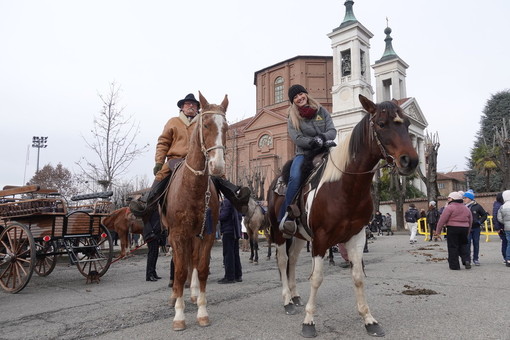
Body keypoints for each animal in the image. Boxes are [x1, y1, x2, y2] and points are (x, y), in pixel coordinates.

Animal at [162, 91, 228, 330]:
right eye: (206, 125)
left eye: (226, 127)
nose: (218, 166)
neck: (192, 189)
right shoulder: (178, 235)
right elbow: (180, 271)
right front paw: (179, 316)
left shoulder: (206, 234)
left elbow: (201, 269)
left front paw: (202, 311)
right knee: (179, 264)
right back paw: (175, 296)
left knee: (192, 263)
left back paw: (191, 293)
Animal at [266, 94, 418, 338]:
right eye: (381, 124)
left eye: (407, 124)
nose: (410, 161)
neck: (345, 186)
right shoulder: (320, 239)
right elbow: (316, 277)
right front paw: (309, 321)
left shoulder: (356, 236)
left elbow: (358, 276)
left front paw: (369, 319)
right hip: (279, 232)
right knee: (282, 261)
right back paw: (288, 301)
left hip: (299, 236)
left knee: (293, 261)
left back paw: (296, 296)